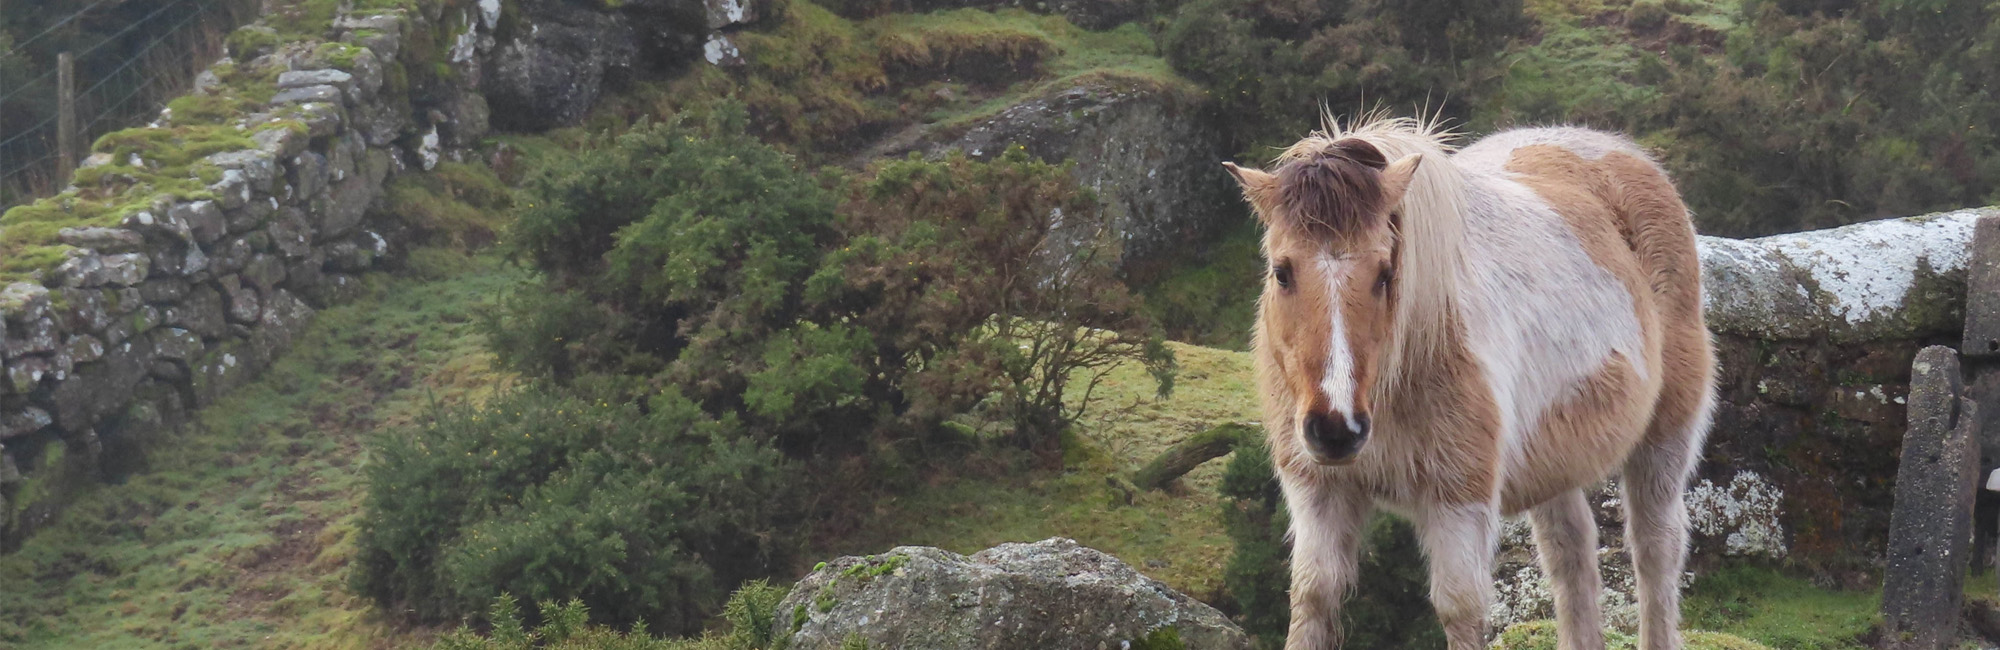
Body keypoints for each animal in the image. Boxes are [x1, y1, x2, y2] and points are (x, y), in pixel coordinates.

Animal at [1223, 115, 1715, 650]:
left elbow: (1459, 608)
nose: (1336, 429)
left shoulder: (1458, 501)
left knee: (1655, 548)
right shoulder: (1317, 491)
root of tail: (1621, 153)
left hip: (1665, 439)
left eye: (1385, 273)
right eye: (1282, 272)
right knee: (1571, 554)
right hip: (1553, 465)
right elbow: (1314, 595)